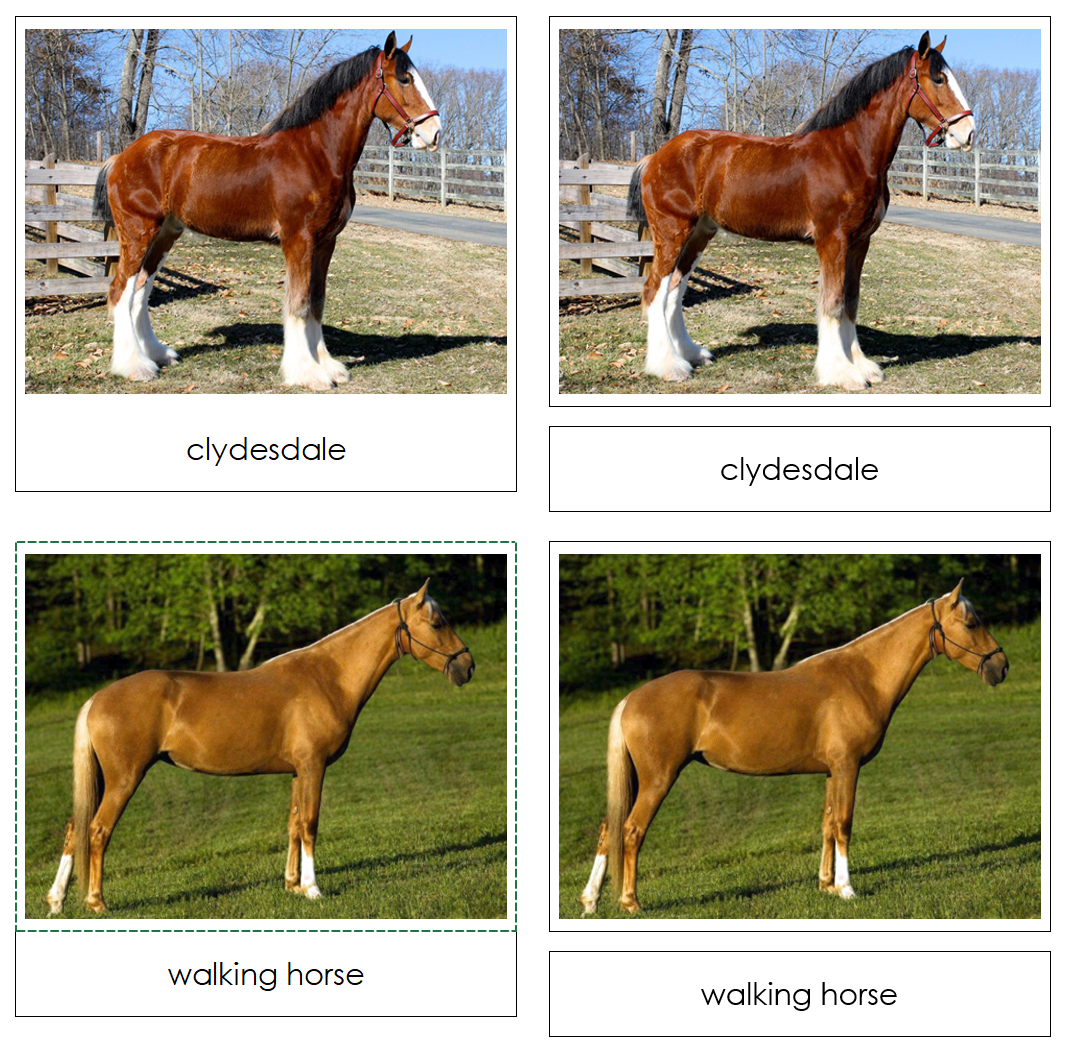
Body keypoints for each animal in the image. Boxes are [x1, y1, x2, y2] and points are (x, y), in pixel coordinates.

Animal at [45, 580, 473, 915]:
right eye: (438, 623)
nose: (467, 667)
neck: (328, 677)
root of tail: (97, 698)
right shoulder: (314, 766)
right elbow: (310, 824)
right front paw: (314, 889)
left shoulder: (300, 770)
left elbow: (293, 825)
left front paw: (293, 885)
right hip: (124, 779)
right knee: (97, 830)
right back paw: (96, 902)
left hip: (104, 778)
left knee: (74, 829)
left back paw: (57, 900)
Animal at [91, 32, 441, 391]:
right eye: (405, 78)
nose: (434, 133)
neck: (316, 152)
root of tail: (120, 158)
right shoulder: (299, 241)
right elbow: (298, 304)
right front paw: (307, 372)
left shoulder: (325, 243)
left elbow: (316, 302)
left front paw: (328, 366)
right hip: (138, 234)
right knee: (120, 292)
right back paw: (134, 366)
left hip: (164, 235)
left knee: (139, 292)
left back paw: (156, 354)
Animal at [579, 580, 1007, 915]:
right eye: (971, 623)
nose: (1001, 667)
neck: (862, 677)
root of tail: (631, 698)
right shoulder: (848, 766)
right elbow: (844, 824)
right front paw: (847, 889)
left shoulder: (834, 770)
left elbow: (827, 825)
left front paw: (827, 885)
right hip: (658, 779)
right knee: (631, 830)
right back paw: (630, 902)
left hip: (638, 778)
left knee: (609, 829)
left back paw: (591, 900)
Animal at [625, 32, 976, 389]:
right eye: (938, 78)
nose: (968, 133)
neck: (850, 152)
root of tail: (654, 157)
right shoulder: (833, 241)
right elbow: (832, 304)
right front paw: (841, 372)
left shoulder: (859, 243)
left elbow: (850, 302)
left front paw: (862, 366)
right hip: (672, 233)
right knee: (654, 292)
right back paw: (668, 366)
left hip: (698, 235)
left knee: (674, 292)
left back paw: (690, 355)